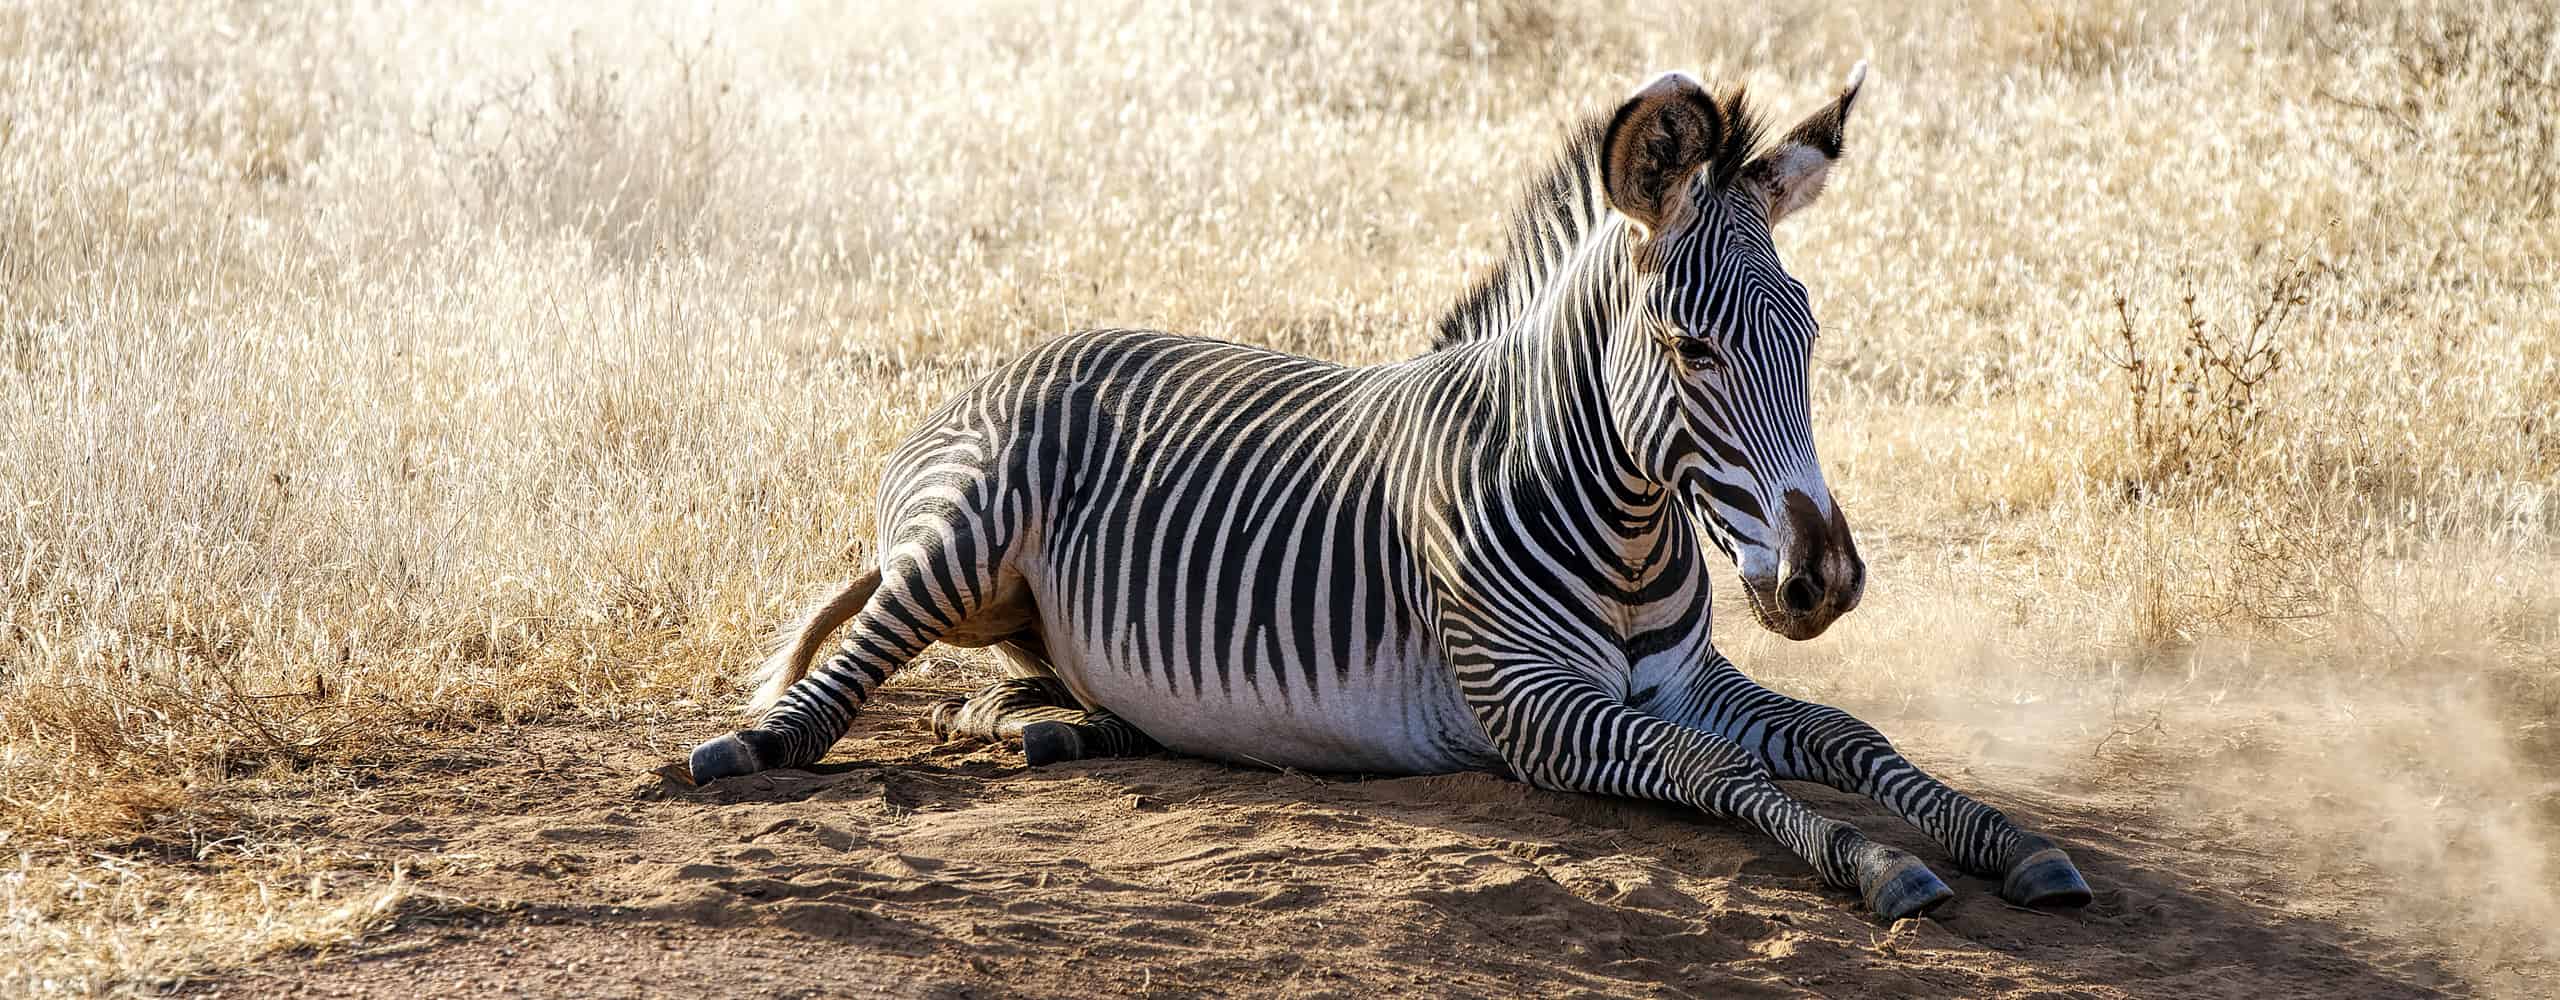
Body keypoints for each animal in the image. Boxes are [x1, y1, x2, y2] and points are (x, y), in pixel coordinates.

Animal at [691, 64, 2088, 925]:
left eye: (1807, 337)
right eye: (1693, 349)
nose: (1824, 580)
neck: (1629, 526)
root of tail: (1020, 355)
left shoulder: (1683, 678)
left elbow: (1850, 737)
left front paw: (2002, 838)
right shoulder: (1532, 711)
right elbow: (1719, 768)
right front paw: (1880, 863)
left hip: (1028, 611)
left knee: (1007, 687)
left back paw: (1062, 727)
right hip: (967, 530)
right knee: (861, 663)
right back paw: (756, 748)